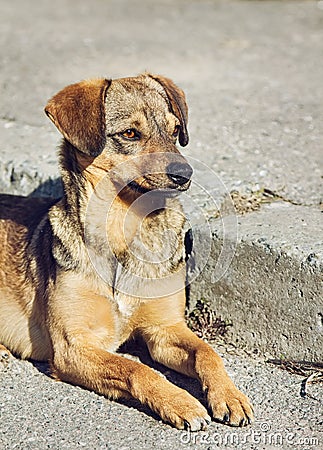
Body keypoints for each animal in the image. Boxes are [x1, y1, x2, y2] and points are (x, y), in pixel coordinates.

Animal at [0, 73, 254, 428]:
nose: (185, 175)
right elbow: (136, 368)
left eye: (175, 130)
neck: (124, 232)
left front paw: (229, 395)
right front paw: (180, 402)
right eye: (130, 133)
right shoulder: (73, 347)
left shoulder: (164, 331)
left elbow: (208, 353)